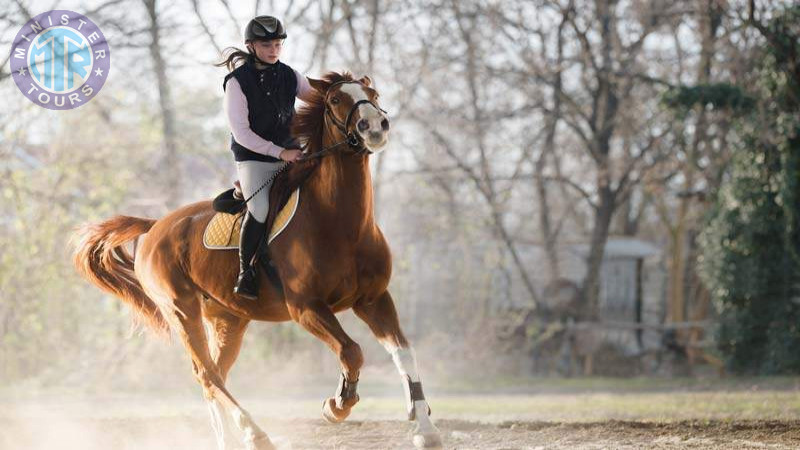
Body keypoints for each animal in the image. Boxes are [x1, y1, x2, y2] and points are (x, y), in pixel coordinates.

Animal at [72, 72, 440, 448]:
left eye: (373, 93)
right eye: (336, 100)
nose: (375, 126)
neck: (341, 223)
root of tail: (155, 226)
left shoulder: (373, 299)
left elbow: (404, 352)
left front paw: (424, 429)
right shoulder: (307, 308)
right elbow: (351, 351)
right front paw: (337, 405)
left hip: (228, 319)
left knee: (214, 375)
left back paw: (231, 440)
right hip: (182, 311)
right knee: (207, 373)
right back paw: (256, 433)